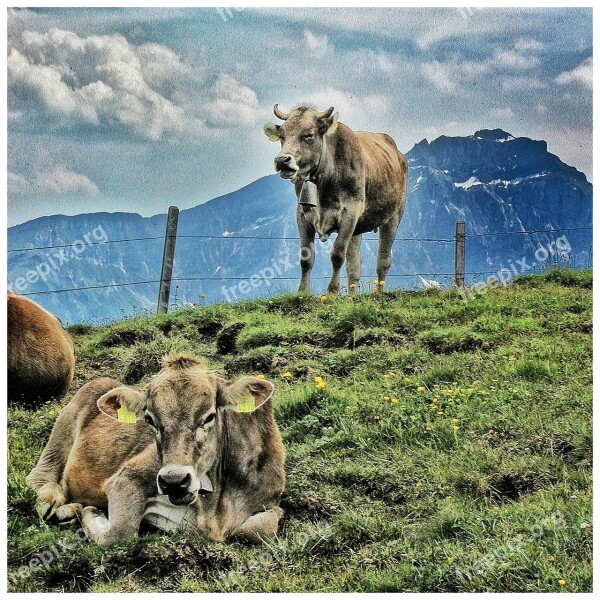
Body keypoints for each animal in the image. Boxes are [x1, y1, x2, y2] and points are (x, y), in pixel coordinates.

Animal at [29, 354, 288, 548]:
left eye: (209, 416)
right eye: (150, 420)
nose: (174, 481)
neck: (215, 511)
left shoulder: (268, 500)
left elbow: (261, 528)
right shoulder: (126, 477)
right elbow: (119, 532)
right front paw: (91, 511)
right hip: (64, 427)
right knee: (41, 477)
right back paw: (55, 503)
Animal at [264, 106, 408, 298]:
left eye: (309, 135)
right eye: (281, 136)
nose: (282, 161)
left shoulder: (350, 212)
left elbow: (338, 254)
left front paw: (332, 291)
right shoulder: (302, 215)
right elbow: (306, 258)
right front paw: (302, 291)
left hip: (393, 217)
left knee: (383, 259)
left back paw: (379, 292)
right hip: (357, 228)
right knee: (354, 263)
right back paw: (351, 296)